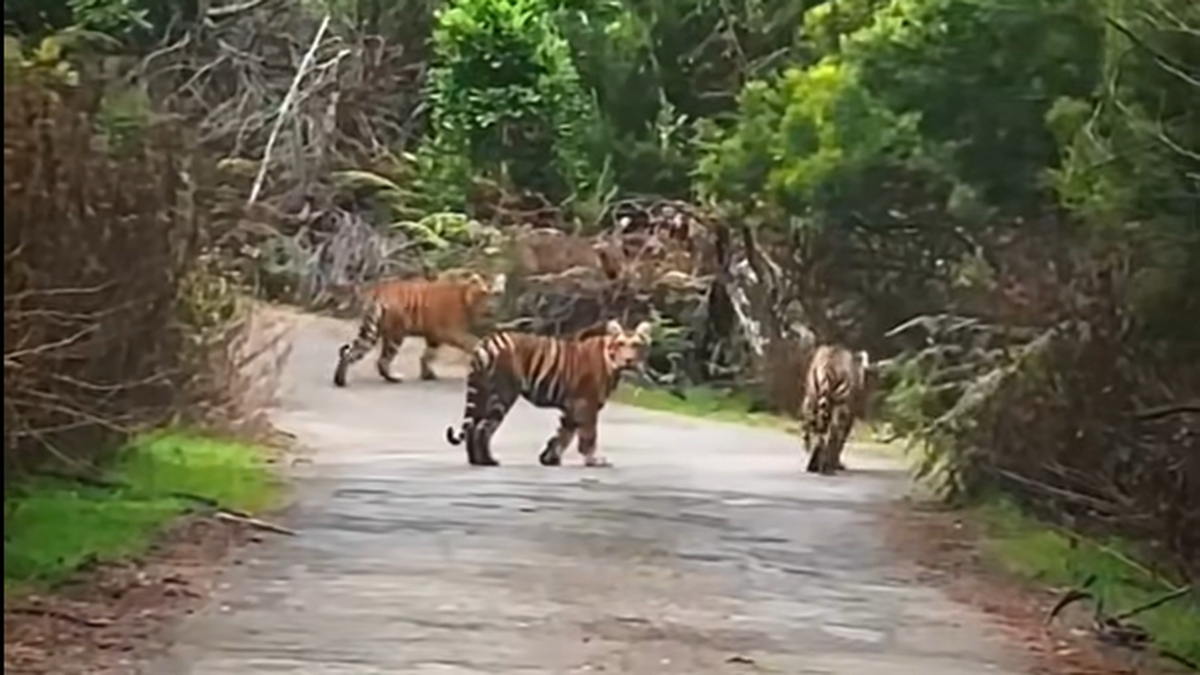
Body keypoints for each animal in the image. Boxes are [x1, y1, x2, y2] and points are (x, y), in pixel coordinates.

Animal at [332, 271, 507, 388]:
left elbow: (428, 355)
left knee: (349, 352)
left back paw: (339, 380)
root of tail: (379, 290)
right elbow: (475, 342)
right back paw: (393, 378)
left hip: (373, 332)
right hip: (396, 334)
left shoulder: (434, 336)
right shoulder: (452, 332)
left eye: (497, 294)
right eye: (484, 293)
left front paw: (427, 374)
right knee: (382, 360)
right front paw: (486, 354)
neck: (467, 298)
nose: (492, 308)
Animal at [445, 319, 653, 468]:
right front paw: (593, 461)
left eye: (636, 345)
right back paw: (488, 461)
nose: (628, 360)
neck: (612, 361)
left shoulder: (572, 406)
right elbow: (588, 436)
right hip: (502, 394)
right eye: (621, 344)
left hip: (483, 392)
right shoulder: (587, 403)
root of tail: (486, 341)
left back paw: (476, 461)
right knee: (483, 428)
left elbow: (563, 434)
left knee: (473, 427)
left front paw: (549, 458)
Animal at [800, 344, 870, 475]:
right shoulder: (849, 415)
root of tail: (828, 367)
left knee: (817, 431)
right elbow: (841, 441)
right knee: (832, 433)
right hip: (839, 408)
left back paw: (815, 466)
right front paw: (836, 464)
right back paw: (826, 468)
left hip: (811, 400)